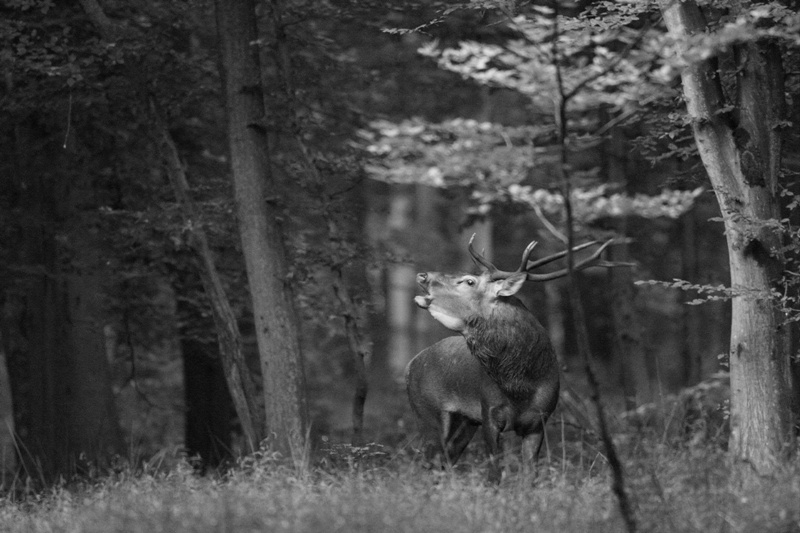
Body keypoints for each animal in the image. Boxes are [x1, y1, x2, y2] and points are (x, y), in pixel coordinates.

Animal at [406, 235, 614, 483]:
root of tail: (410, 364)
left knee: (444, 460)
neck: (521, 386)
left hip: (464, 421)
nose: (423, 275)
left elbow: (530, 475)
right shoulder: (489, 413)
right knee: (428, 462)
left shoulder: (539, 420)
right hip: (427, 412)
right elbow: (495, 472)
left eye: (469, 281)